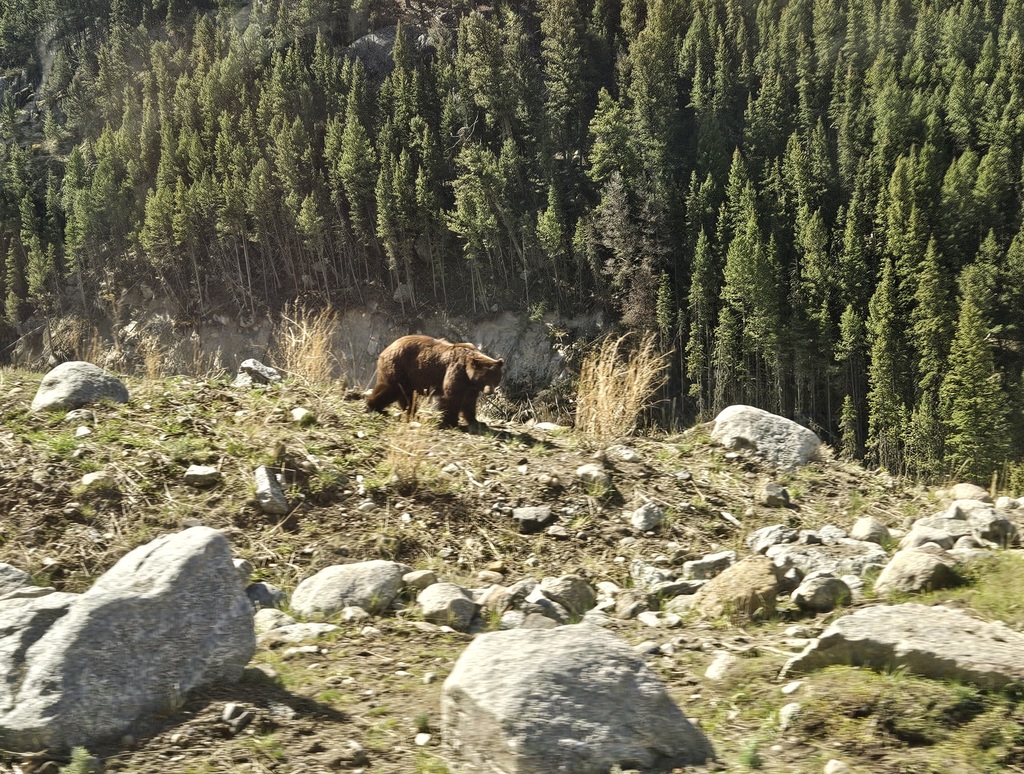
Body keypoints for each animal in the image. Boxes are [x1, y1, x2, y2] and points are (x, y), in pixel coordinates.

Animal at [366, 335, 504, 428]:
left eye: (495, 378)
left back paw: (411, 412)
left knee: (406, 395)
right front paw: (451, 421)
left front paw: (477, 421)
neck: (468, 375)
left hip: (408, 376)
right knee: (391, 389)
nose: (489, 391)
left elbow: (469, 402)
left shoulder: (471, 386)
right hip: (399, 367)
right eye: (484, 378)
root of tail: (385, 349)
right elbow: (452, 396)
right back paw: (374, 406)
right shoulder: (456, 371)